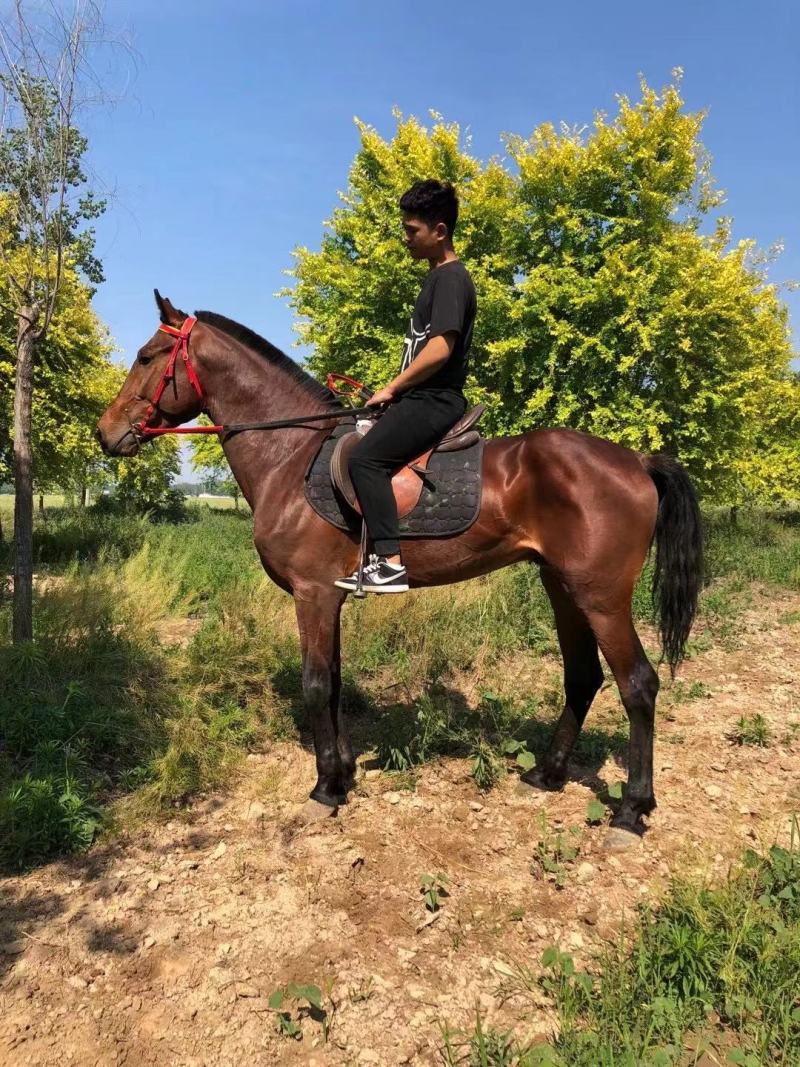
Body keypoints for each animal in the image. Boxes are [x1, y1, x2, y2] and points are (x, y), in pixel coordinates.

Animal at [96, 291, 703, 844]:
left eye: (147, 357)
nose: (106, 433)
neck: (291, 455)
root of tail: (637, 461)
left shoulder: (312, 594)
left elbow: (315, 683)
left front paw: (325, 789)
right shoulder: (331, 595)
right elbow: (335, 682)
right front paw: (342, 773)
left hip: (602, 595)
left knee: (637, 685)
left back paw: (631, 811)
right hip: (562, 585)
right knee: (583, 676)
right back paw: (548, 774)